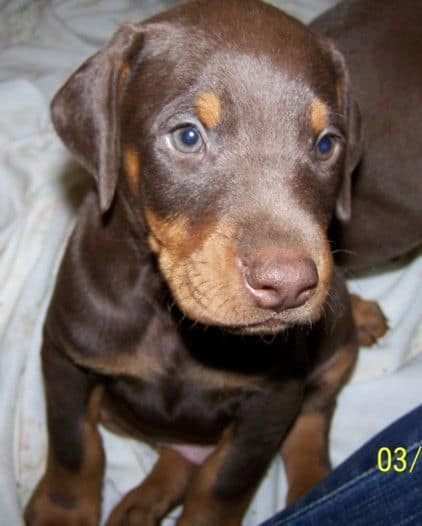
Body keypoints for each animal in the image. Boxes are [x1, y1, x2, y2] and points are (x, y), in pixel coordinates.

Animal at [23, 0, 382, 524]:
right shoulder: (67, 356)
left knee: (309, 422)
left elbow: (223, 484)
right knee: (178, 457)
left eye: (325, 144)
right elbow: (74, 446)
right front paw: (62, 510)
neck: (166, 308)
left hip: (334, 357)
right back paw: (142, 503)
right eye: (188, 136)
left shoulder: (271, 400)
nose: (289, 286)